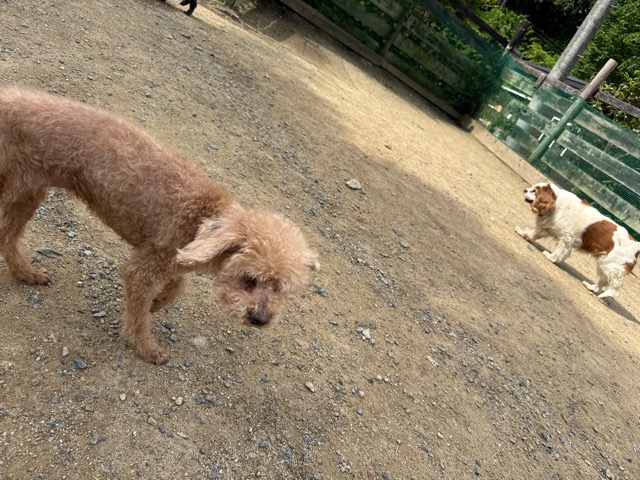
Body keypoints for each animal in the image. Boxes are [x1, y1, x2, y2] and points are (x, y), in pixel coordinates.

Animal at [0, 87, 318, 364]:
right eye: (249, 279)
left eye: (280, 289)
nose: (260, 319)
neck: (202, 217)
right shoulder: (144, 268)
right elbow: (140, 316)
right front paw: (146, 347)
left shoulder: (171, 260)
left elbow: (177, 287)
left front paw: (157, 303)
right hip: (21, 189)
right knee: (6, 235)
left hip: (27, 191)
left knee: (6, 236)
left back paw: (26, 273)